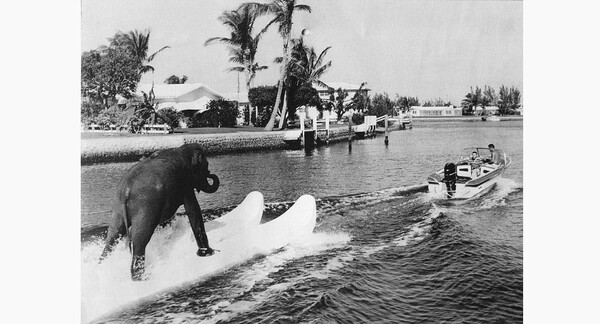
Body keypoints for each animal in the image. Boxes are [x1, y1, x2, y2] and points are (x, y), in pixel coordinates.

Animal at [98, 143, 220, 280]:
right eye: (206, 166)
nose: (211, 174)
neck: (182, 149)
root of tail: (126, 190)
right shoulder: (185, 182)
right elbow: (193, 209)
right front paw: (208, 253)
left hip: (117, 208)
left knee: (112, 236)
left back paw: (101, 266)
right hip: (145, 207)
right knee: (139, 239)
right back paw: (140, 278)